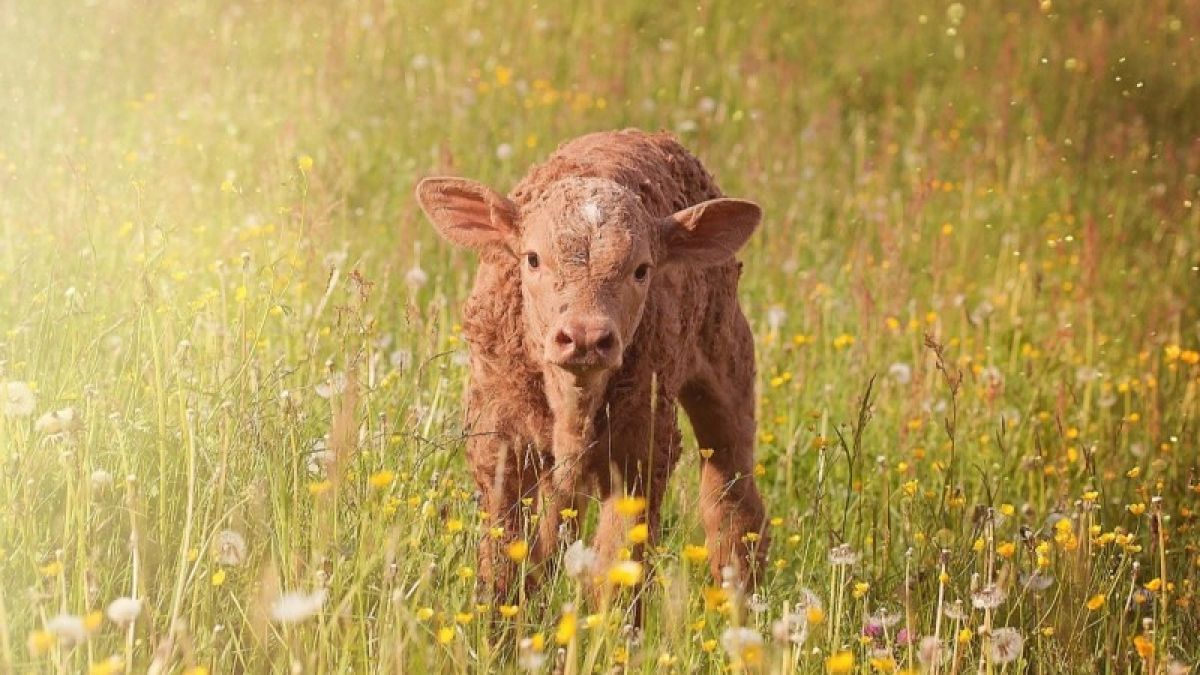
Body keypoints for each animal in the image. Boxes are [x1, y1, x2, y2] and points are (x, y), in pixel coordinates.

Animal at [415, 128, 768, 600]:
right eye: (532, 258)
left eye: (642, 269)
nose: (585, 337)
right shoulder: (499, 441)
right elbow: (506, 560)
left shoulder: (642, 451)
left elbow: (618, 569)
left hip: (728, 359)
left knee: (732, 500)